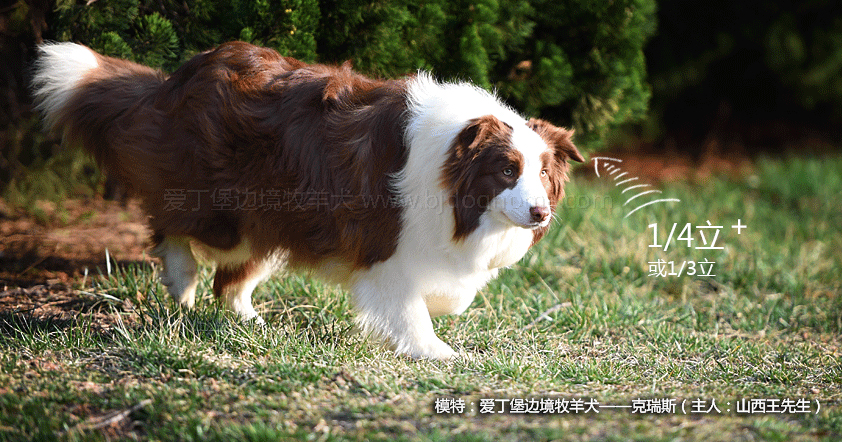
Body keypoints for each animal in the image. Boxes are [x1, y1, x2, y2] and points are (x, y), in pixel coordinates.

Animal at [34, 41, 584, 360]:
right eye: (506, 170)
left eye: (543, 174)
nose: (540, 213)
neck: (454, 182)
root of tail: (180, 76)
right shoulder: (386, 244)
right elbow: (408, 304)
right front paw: (438, 353)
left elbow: (447, 291)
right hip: (223, 207)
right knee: (172, 225)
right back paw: (181, 279)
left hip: (272, 214)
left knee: (231, 279)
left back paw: (252, 323)